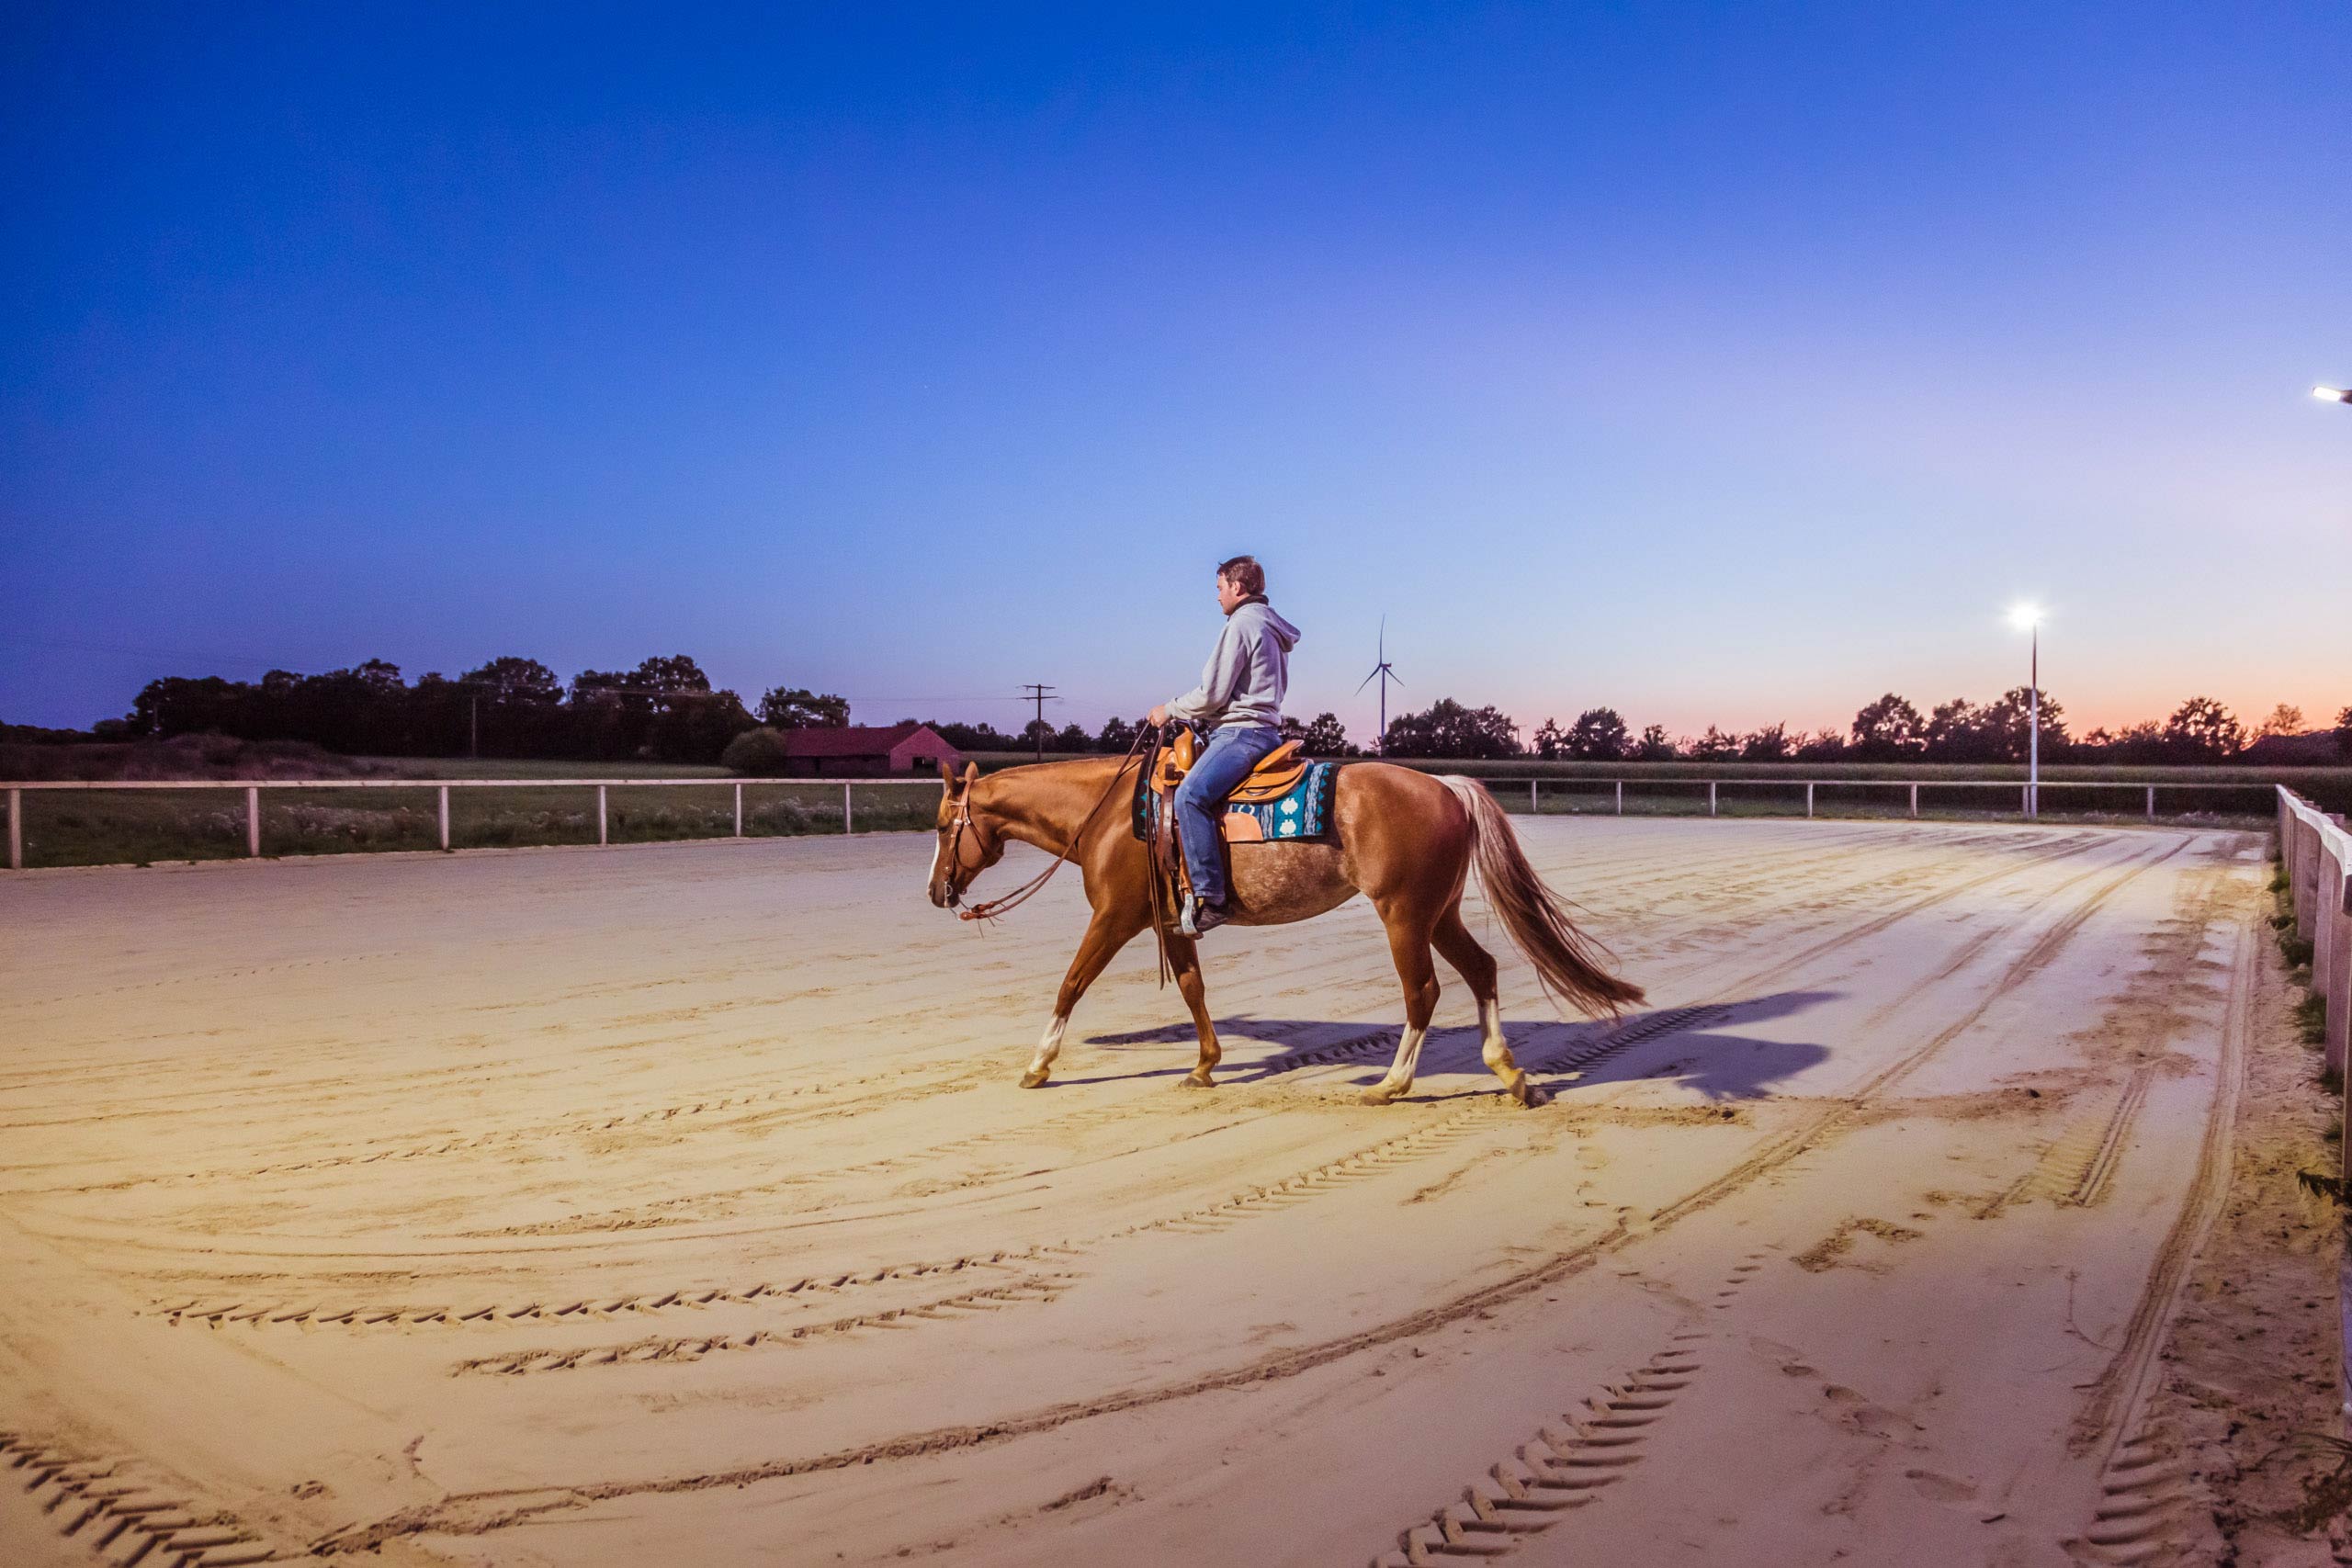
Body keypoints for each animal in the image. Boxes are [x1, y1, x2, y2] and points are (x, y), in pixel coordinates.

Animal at [917, 757, 1636, 1104]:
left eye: (942, 825)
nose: (934, 892)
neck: (1113, 814)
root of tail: (1446, 787)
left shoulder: (1114, 917)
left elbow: (1071, 983)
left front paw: (1037, 1065)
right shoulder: (1170, 922)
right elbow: (1193, 988)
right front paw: (1205, 1066)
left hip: (1404, 915)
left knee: (1423, 992)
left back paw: (1392, 1085)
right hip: (1441, 913)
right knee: (1481, 969)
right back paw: (1509, 1074)